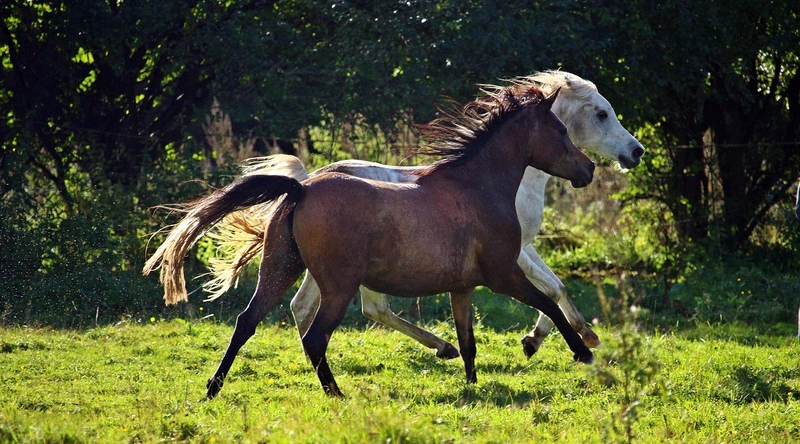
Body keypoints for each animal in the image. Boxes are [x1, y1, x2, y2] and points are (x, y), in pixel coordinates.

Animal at [143, 85, 595, 398]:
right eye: (560, 130)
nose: (589, 169)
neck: (478, 187)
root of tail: (301, 189)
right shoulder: (503, 273)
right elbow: (549, 304)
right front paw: (582, 351)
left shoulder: (463, 287)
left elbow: (469, 340)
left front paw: (471, 385)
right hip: (338, 285)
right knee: (315, 336)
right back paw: (336, 394)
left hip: (280, 268)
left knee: (246, 322)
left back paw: (212, 388)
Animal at [204, 71, 645, 360]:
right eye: (601, 114)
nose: (636, 151)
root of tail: (307, 183)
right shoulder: (513, 253)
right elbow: (552, 290)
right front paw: (557, 339)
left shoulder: (521, 249)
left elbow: (557, 288)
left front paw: (571, 336)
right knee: (370, 309)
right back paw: (441, 347)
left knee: (301, 307)